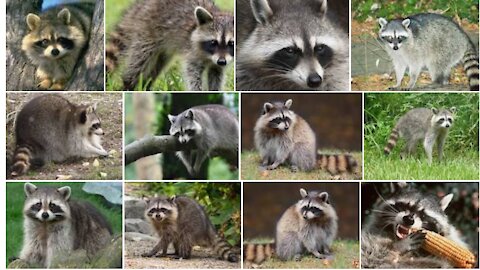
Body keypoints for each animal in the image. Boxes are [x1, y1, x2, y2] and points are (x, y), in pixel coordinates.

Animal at [105, 0, 234, 90]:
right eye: (213, 42)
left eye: (231, 43)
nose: (222, 61)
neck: (208, 56)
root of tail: (141, 6)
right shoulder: (192, 52)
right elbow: (192, 73)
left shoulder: (217, 64)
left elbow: (216, 75)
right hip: (147, 32)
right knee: (139, 60)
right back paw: (128, 83)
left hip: (162, 48)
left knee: (157, 65)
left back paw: (146, 84)